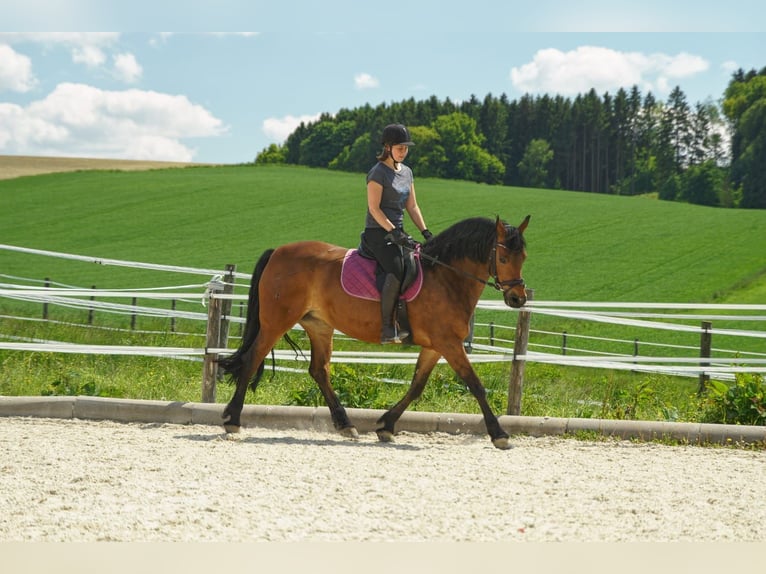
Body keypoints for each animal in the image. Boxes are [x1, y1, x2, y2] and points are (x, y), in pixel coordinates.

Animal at [218, 214, 530, 450]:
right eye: (503, 258)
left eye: (523, 257)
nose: (518, 298)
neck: (445, 278)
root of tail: (278, 252)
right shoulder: (448, 343)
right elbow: (475, 384)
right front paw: (499, 434)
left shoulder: (435, 346)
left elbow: (416, 386)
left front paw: (386, 425)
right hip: (277, 321)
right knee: (253, 358)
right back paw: (233, 420)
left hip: (319, 326)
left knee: (319, 370)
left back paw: (346, 425)